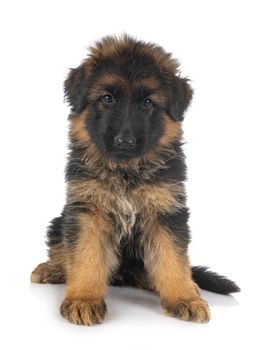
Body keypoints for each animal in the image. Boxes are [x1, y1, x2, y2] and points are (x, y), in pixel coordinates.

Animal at [30, 35, 239, 326]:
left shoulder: (167, 213)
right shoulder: (87, 212)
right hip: (59, 220)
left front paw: (184, 297)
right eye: (107, 98)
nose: (124, 142)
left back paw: (192, 286)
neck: (126, 170)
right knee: (63, 251)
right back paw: (53, 269)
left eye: (148, 102)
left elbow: (173, 260)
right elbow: (84, 256)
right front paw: (83, 299)